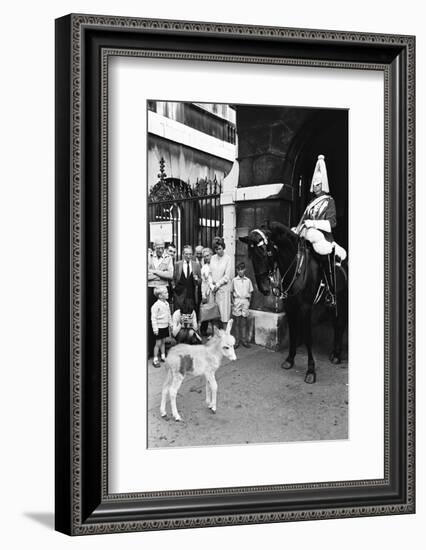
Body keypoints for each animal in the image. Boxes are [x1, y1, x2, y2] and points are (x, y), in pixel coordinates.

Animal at [241, 222, 348, 386]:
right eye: (251, 255)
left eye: (267, 253)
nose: (264, 289)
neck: (296, 268)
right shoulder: (290, 307)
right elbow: (293, 332)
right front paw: (289, 360)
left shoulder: (306, 308)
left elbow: (308, 337)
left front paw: (311, 371)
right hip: (332, 305)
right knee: (337, 324)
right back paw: (334, 353)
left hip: (342, 301)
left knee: (340, 324)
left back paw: (337, 355)